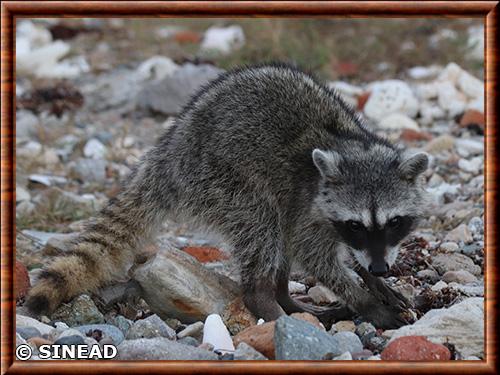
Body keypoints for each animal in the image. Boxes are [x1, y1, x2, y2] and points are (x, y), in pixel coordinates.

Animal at [25, 64, 428, 328]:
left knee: (275, 234)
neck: (349, 147)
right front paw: (365, 299)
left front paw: (373, 279)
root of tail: (168, 151)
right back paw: (268, 303)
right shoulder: (307, 203)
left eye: (394, 222)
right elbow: (314, 256)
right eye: (356, 225)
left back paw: (284, 296)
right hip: (220, 180)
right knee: (262, 224)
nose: (380, 268)